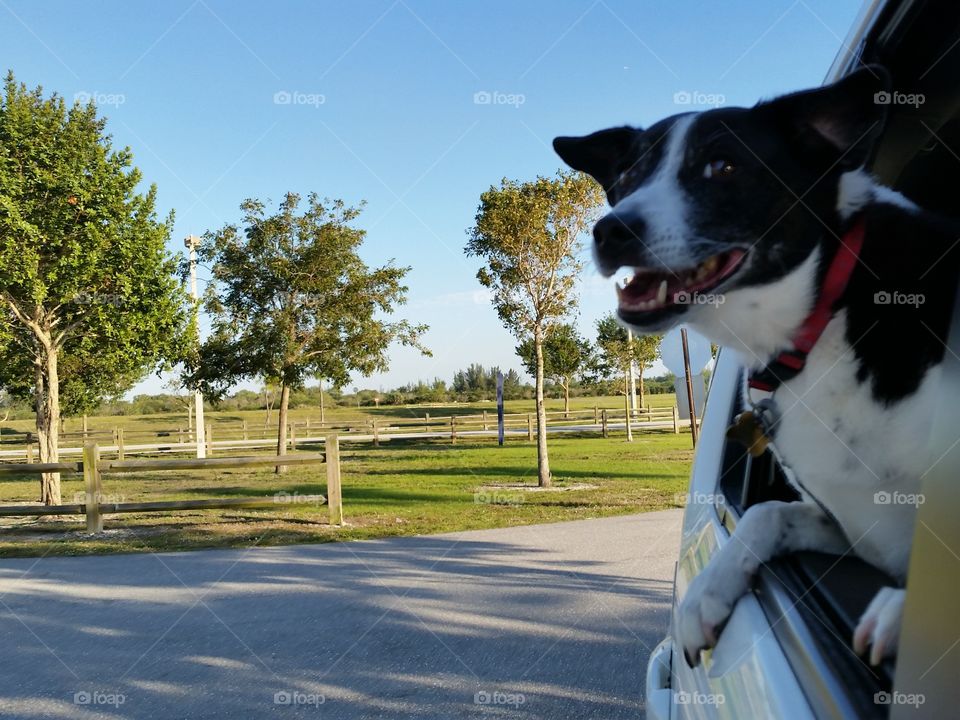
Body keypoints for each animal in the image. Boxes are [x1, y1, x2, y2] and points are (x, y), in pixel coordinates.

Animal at [552, 67, 956, 668]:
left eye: (724, 166)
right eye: (627, 175)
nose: (610, 231)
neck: (821, 316)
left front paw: (905, 611)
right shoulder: (846, 524)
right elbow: (768, 514)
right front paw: (705, 595)